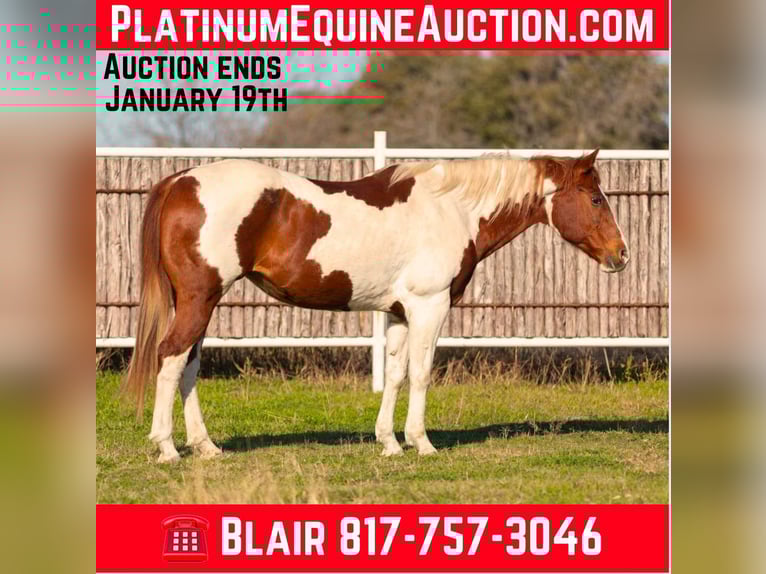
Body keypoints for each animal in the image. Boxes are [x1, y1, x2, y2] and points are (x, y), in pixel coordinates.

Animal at [123, 148, 629, 462]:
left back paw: (205, 446)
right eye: (595, 198)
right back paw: (167, 447)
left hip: (201, 303)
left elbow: (397, 372)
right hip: (199, 299)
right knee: (171, 358)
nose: (621, 255)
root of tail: (180, 181)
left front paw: (389, 442)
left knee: (188, 365)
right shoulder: (429, 306)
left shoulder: (399, 312)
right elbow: (422, 373)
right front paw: (422, 443)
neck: (452, 209)